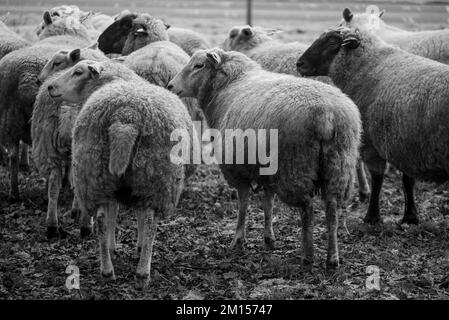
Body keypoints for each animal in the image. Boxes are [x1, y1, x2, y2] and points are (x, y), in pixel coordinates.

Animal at [31, 46, 107, 239]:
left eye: (57, 63)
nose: (39, 80)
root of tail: (68, 109)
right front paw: (77, 211)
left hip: (47, 143)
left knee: (53, 185)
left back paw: (52, 225)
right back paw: (86, 226)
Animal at [46, 59, 195, 288]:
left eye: (77, 72)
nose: (50, 87)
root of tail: (125, 117)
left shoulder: (120, 186)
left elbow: (113, 213)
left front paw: (114, 246)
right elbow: (137, 216)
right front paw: (138, 247)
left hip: (96, 173)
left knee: (100, 220)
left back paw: (107, 270)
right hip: (155, 177)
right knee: (150, 222)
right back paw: (143, 273)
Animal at [168, 48, 360, 270]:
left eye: (199, 65)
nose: (170, 86)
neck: (228, 84)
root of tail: (327, 116)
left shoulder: (237, 168)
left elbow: (243, 204)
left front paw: (238, 239)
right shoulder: (267, 171)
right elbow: (268, 202)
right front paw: (269, 239)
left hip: (296, 167)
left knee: (307, 209)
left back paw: (308, 255)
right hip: (338, 165)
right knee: (332, 209)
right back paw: (333, 258)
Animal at [296, 25, 449, 225]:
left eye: (331, 42)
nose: (299, 64)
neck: (369, 64)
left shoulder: (374, 142)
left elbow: (377, 179)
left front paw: (372, 216)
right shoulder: (406, 142)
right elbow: (408, 180)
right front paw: (410, 217)